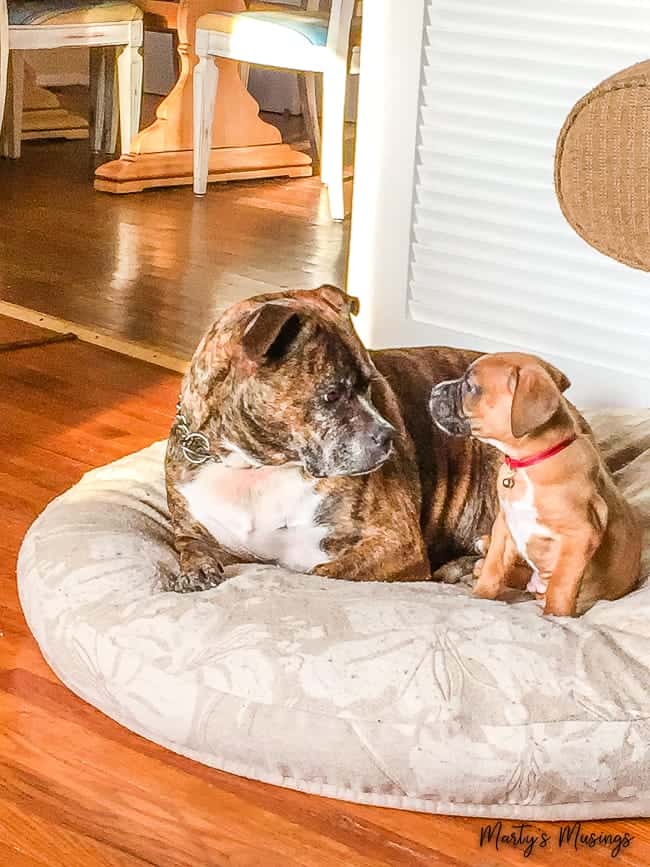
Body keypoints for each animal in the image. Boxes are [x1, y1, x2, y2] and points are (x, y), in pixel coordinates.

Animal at [165, 284, 498, 588]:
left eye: (371, 384)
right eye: (332, 394)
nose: (389, 436)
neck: (255, 466)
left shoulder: (396, 544)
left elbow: (322, 573)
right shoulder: (190, 528)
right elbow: (189, 545)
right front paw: (196, 570)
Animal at [428, 352, 640, 616]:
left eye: (470, 387)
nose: (434, 390)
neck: (527, 463)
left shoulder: (582, 533)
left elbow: (562, 584)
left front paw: (555, 616)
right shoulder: (505, 523)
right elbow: (494, 567)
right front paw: (481, 595)